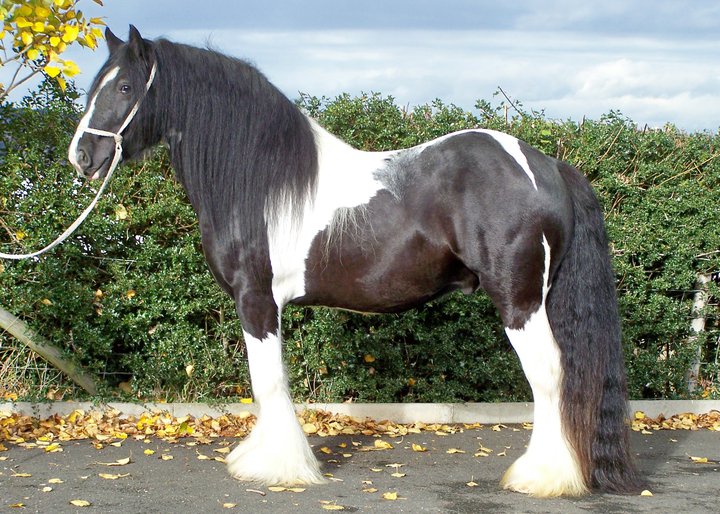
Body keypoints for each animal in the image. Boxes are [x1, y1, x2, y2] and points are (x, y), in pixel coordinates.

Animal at [67, 26, 644, 494]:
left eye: (124, 87)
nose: (81, 157)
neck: (261, 183)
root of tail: (545, 164)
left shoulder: (256, 301)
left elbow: (267, 381)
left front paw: (277, 467)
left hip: (519, 301)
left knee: (548, 375)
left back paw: (542, 477)